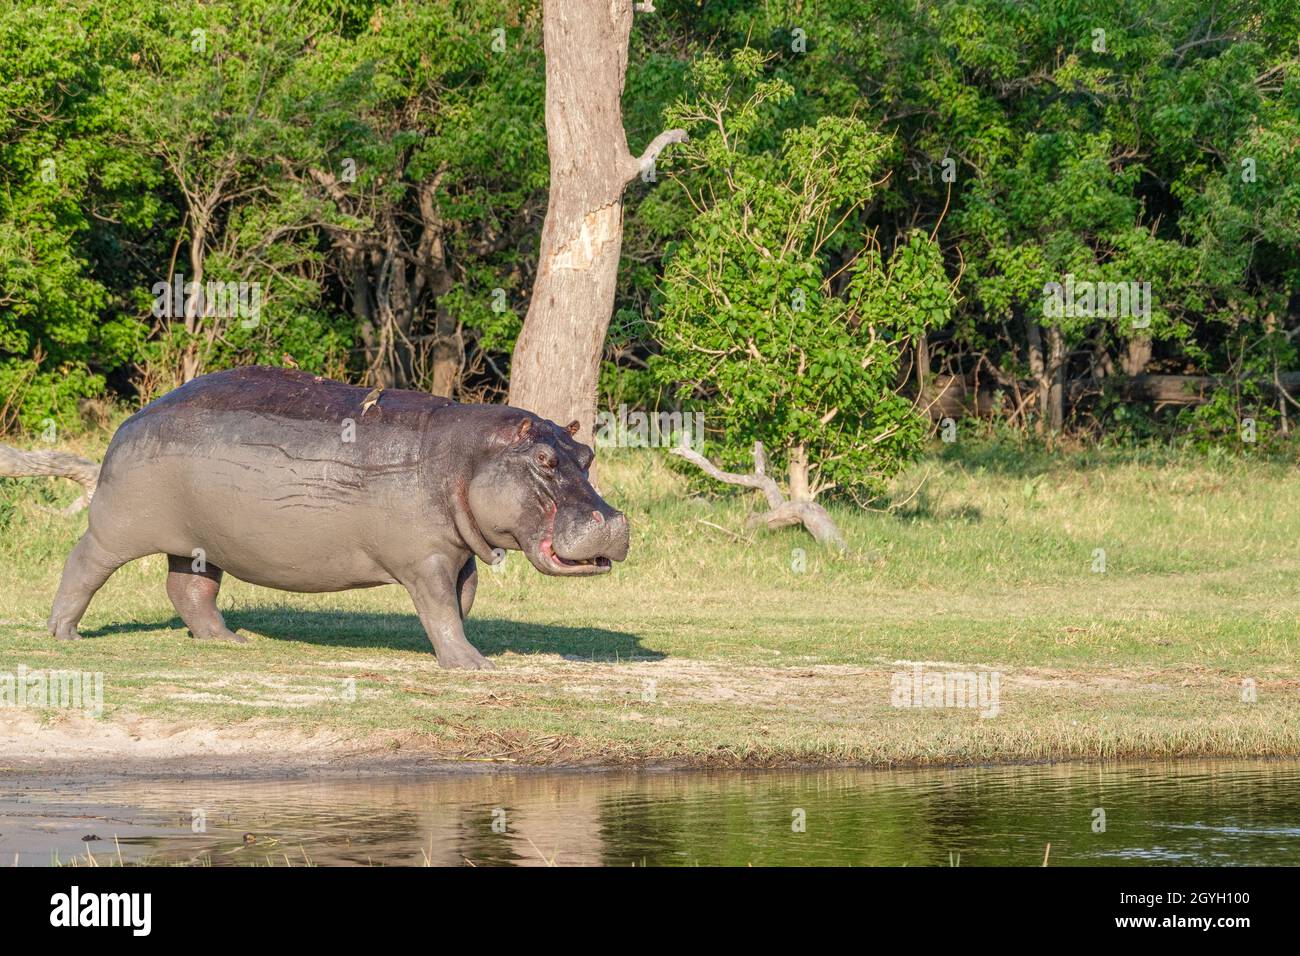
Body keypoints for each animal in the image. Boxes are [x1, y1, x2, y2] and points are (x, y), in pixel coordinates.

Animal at [47, 366, 630, 669]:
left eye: (586, 456)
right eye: (545, 460)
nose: (613, 520)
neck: (468, 456)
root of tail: (132, 418)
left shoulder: (459, 554)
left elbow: (462, 602)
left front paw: (467, 652)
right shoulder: (425, 560)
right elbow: (440, 607)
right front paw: (473, 666)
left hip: (201, 542)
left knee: (190, 589)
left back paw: (228, 641)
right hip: (117, 527)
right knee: (82, 564)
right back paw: (64, 636)